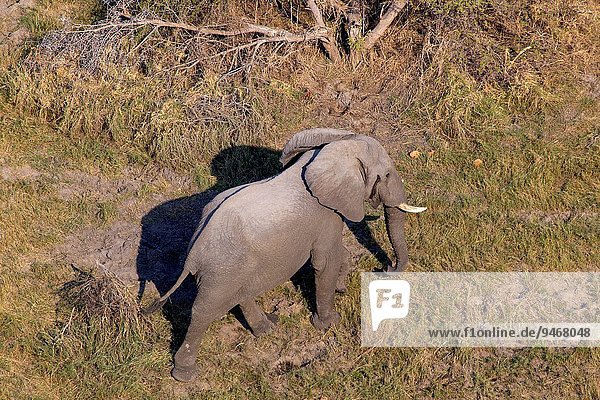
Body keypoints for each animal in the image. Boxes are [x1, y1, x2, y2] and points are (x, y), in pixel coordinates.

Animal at [144, 128, 426, 382]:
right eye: (386, 175)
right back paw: (185, 375)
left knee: (241, 294)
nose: (385, 269)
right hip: (221, 272)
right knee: (202, 313)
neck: (333, 148)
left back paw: (267, 327)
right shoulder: (326, 212)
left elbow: (338, 253)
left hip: (233, 270)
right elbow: (325, 260)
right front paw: (328, 324)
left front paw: (340, 288)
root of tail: (193, 253)